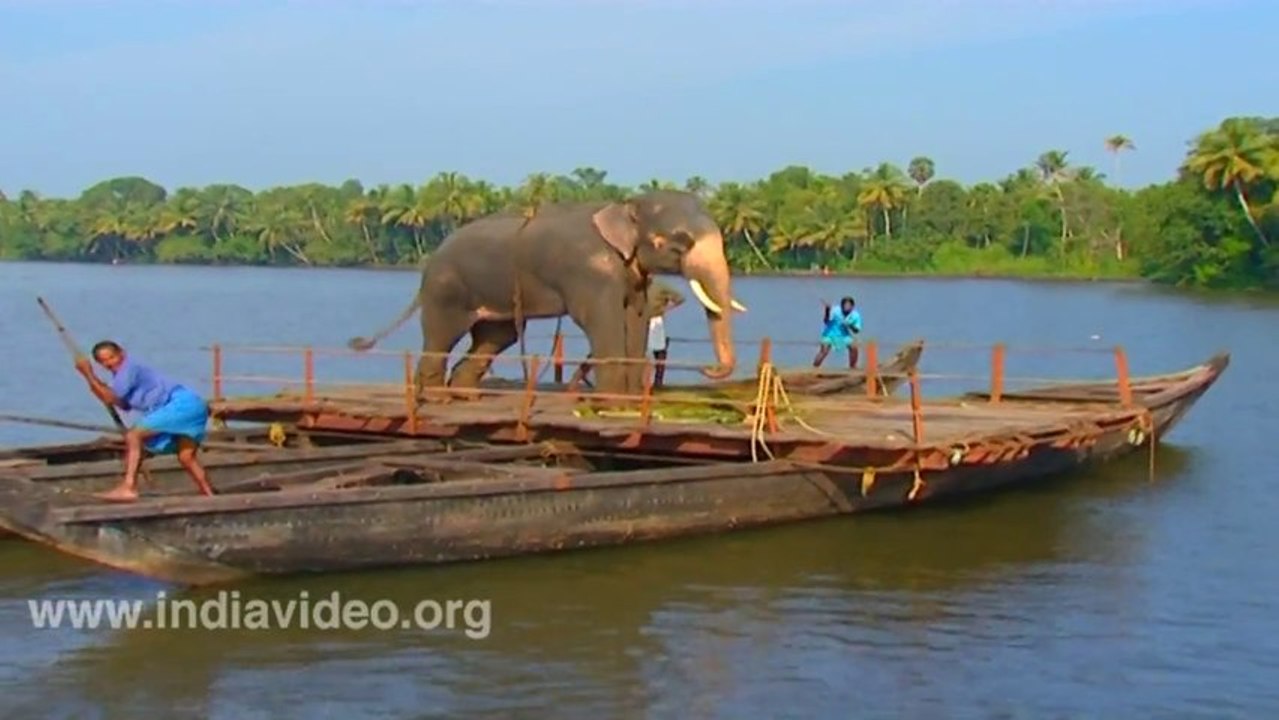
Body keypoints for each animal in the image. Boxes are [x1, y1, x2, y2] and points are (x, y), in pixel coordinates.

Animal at [347, 190, 747, 401]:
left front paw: (628, 401)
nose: (707, 369)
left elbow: (635, 316)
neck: (625, 204)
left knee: (497, 335)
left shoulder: (632, 274)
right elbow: (602, 321)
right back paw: (438, 399)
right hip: (447, 288)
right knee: (443, 334)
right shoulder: (588, 272)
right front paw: (612, 403)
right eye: (678, 243)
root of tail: (429, 262)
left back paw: (466, 396)